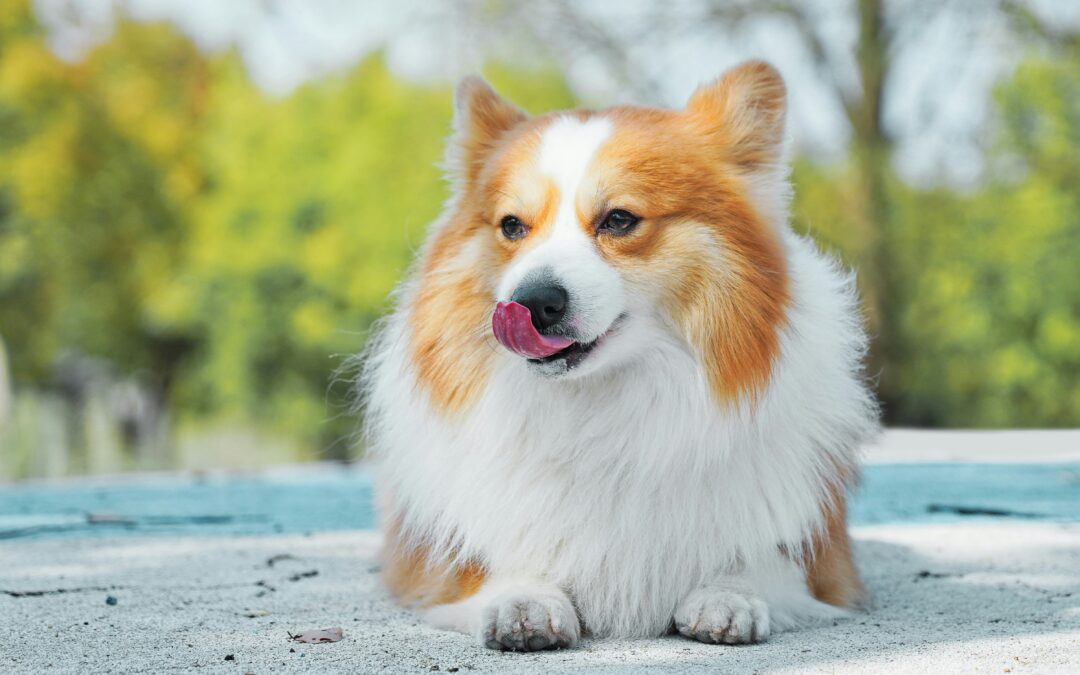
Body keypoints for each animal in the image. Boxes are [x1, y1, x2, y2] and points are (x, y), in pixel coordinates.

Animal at [360, 60, 876, 652]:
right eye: (512, 226)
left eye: (620, 220)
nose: (532, 303)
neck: (601, 406)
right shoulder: (434, 561)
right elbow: (495, 561)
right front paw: (524, 599)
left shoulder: (823, 562)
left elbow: (762, 560)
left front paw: (730, 596)